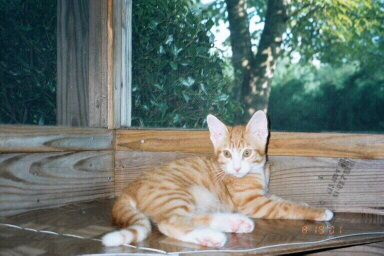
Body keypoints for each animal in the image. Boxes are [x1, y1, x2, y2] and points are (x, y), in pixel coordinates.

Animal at [103, 111, 332, 247]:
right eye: (227, 154)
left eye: (247, 153)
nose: (237, 168)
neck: (256, 171)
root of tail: (128, 189)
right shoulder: (254, 203)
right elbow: (287, 207)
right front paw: (318, 211)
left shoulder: (264, 195)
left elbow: (283, 199)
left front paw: (304, 203)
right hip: (176, 193)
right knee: (170, 223)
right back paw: (213, 236)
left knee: (193, 217)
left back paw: (235, 223)